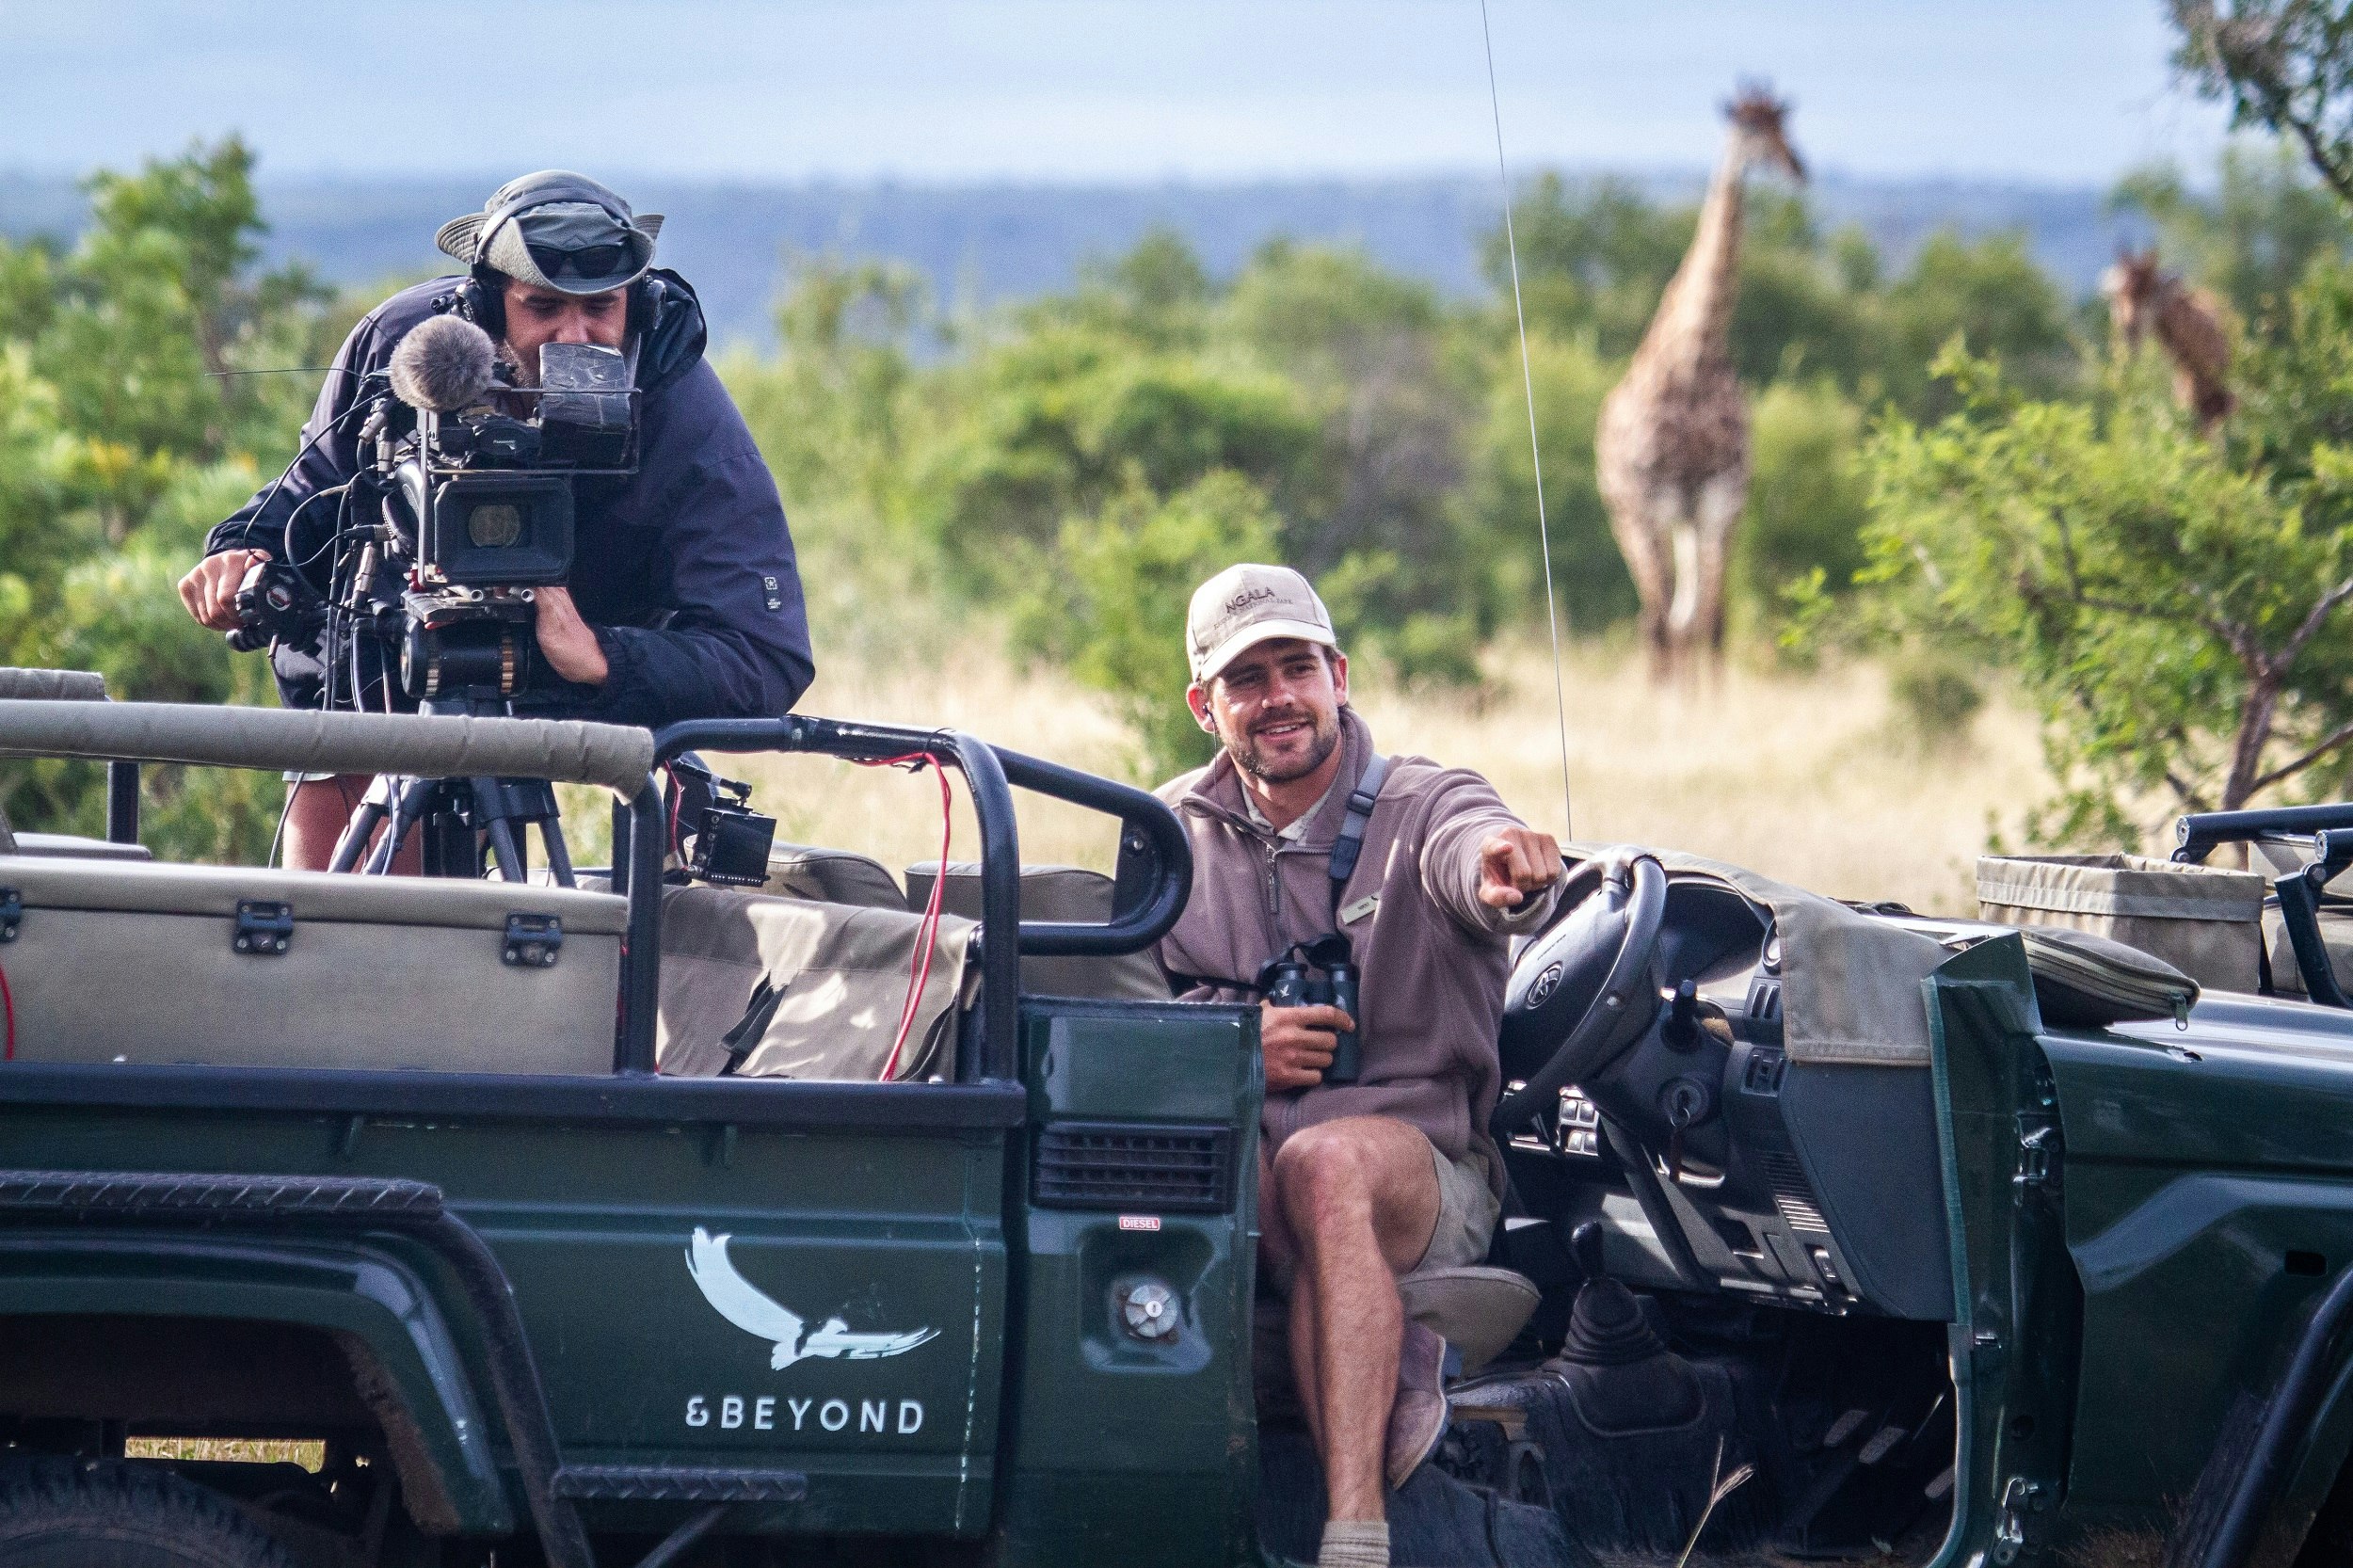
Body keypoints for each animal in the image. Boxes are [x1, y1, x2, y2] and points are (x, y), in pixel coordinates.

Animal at [1591, 85, 1807, 673]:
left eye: (1784, 126)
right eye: (1747, 126)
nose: (1797, 167)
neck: (1696, 362)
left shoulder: (1719, 500)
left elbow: (1712, 626)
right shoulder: (1658, 501)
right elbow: (1671, 626)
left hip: (1683, 521)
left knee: (1685, 620)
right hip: (1628, 514)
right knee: (1655, 624)